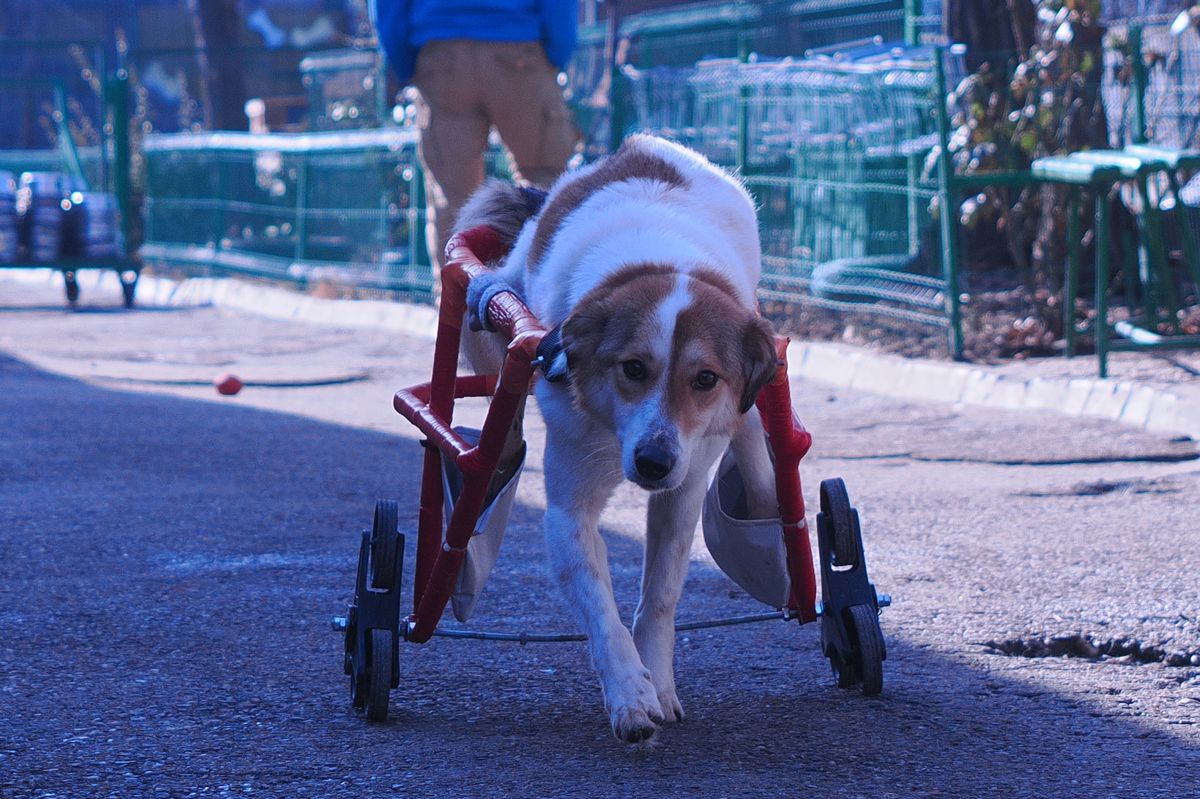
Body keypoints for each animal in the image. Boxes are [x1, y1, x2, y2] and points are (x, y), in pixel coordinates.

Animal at [451, 133, 777, 739]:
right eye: (633, 368)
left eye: (705, 379)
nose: (653, 463)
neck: (659, 261)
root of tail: (641, 144)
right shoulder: (567, 512)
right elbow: (601, 609)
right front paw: (629, 691)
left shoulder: (683, 488)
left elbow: (661, 595)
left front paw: (659, 681)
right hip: (512, 279)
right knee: (505, 281)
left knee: (753, 437)